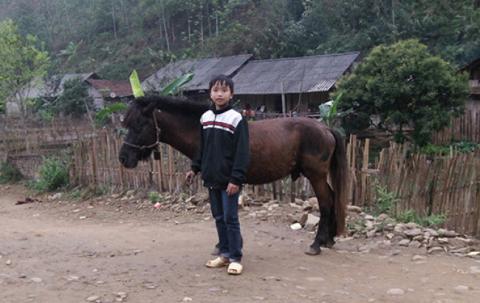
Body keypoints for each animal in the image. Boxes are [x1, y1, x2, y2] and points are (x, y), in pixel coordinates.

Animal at [118, 95, 346, 256]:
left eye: (139, 125)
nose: (123, 157)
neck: (206, 133)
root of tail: (325, 128)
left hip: (316, 176)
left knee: (326, 202)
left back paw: (317, 244)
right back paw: (329, 239)